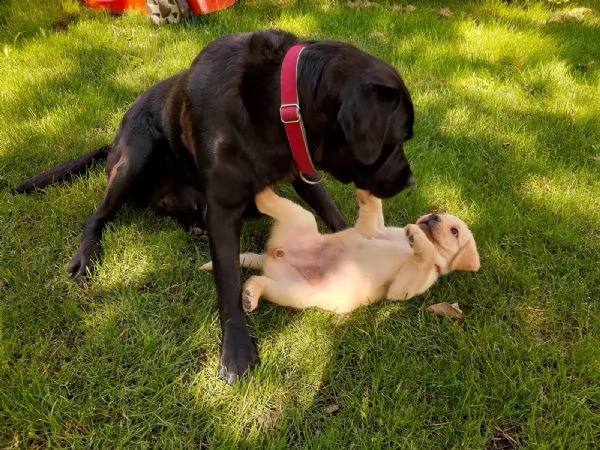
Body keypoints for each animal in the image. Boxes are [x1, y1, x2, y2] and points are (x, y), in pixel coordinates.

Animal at [15, 29, 418, 382]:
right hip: (136, 154)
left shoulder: (302, 170)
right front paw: (236, 352)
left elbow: (332, 213)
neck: (280, 103)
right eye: (398, 140)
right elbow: (227, 282)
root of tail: (113, 140)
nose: (411, 180)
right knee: (96, 216)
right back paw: (86, 255)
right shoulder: (224, 210)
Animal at [204, 186, 480, 312]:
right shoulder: (373, 229)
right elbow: (373, 210)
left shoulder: (401, 288)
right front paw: (367, 191)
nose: (432, 217)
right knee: (268, 203)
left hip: (296, 292)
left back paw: (250, 294)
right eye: (438, 212)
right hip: (303, 218)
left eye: (454, 231)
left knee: (259, 280)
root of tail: (273, 256)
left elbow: (425, 256)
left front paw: (418, 237)